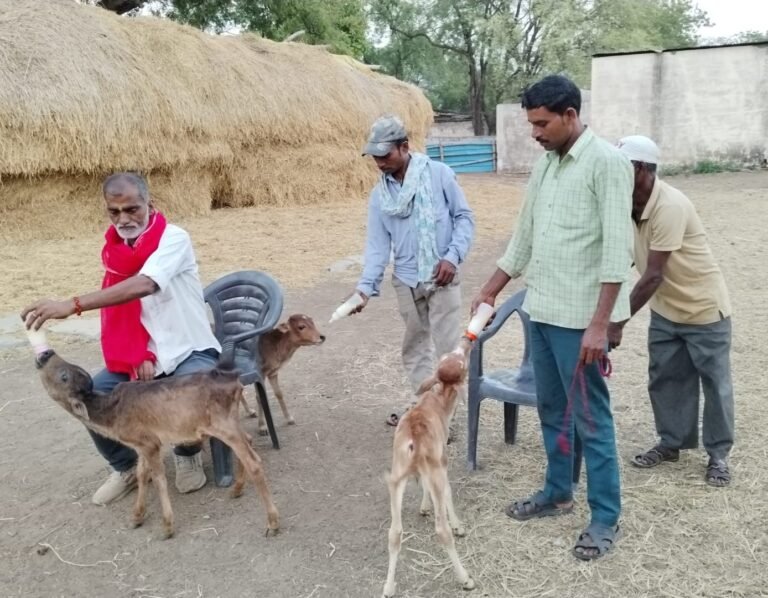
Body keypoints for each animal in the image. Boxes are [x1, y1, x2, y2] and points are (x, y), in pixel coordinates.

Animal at [33, 350, 280, 540]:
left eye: (64, 376)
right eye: (68, 370)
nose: (46, 353)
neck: (112, 417)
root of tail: (235, 380)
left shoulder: (150, 443)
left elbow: (159, 479)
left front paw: (167, 527)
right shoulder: (141, 442)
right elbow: (142, 474)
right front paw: (136, 517)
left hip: (222, 423)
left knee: (254, 461)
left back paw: (272, 522)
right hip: (227, 422)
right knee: (248, 441)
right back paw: (237, 489)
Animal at [382, 338, 474, 598]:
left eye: (447, 357)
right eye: (463, 365)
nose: (465, 342)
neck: (440, 402)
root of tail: (414, 438)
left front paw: (424, 507)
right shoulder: (441, 460)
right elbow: (448, 492)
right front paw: (458, 525)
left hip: (397, 473)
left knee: (394, 533)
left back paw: (388, 587)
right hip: (433, 468)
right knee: (441, 530)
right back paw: (465, 578)